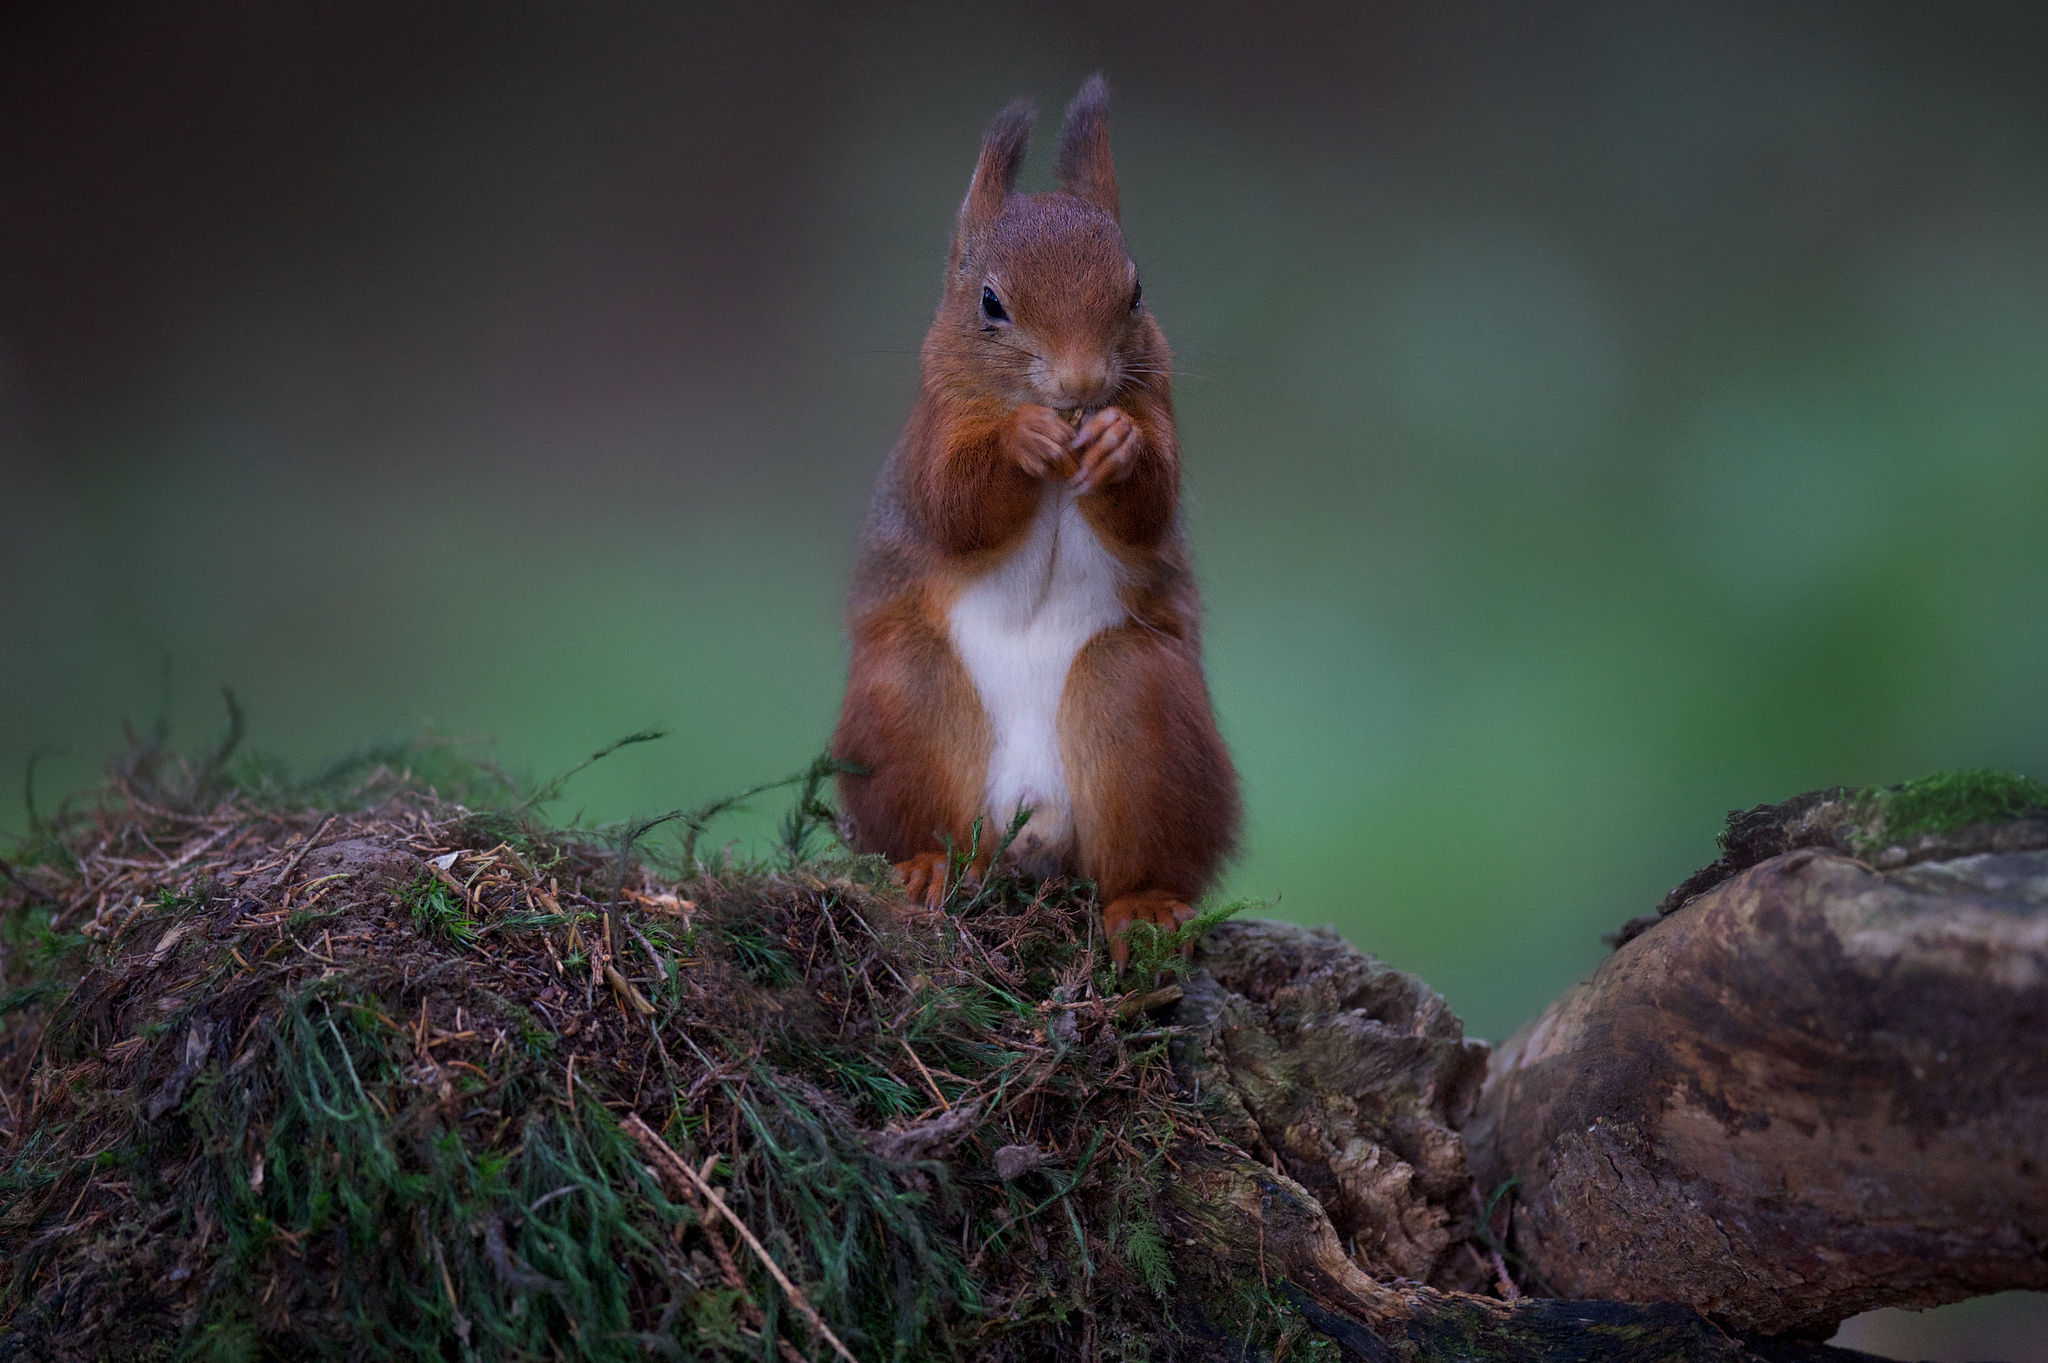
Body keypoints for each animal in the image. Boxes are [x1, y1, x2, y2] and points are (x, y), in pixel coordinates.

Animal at [827, 76, 1236, 965]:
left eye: (1136, 291)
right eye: (990, 302)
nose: (1081, 386)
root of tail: (1031, 821)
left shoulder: (1161, 411)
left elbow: (1150, 505)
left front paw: (1115, 444)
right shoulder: (933, 433)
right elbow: (953, 505)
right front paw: (1023, 440)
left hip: (1141, 709)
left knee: (1137, 856)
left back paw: (1143, 904)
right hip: (907, 701)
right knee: (929, 821)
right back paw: (923, 867)